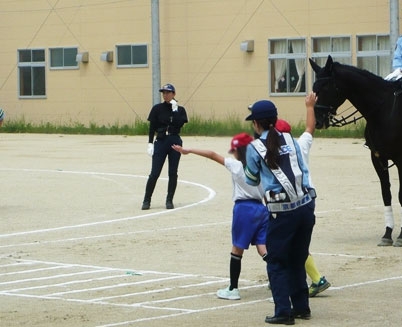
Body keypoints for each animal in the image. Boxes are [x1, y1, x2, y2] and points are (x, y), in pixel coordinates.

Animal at [310, 55, 402, 246]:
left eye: (326, 87)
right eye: (314, 89)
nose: (318, 121)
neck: (384, 111)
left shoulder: (401, 159)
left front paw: (401, 236)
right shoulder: (378, 158)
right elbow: (386, 194)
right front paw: (387, 234)